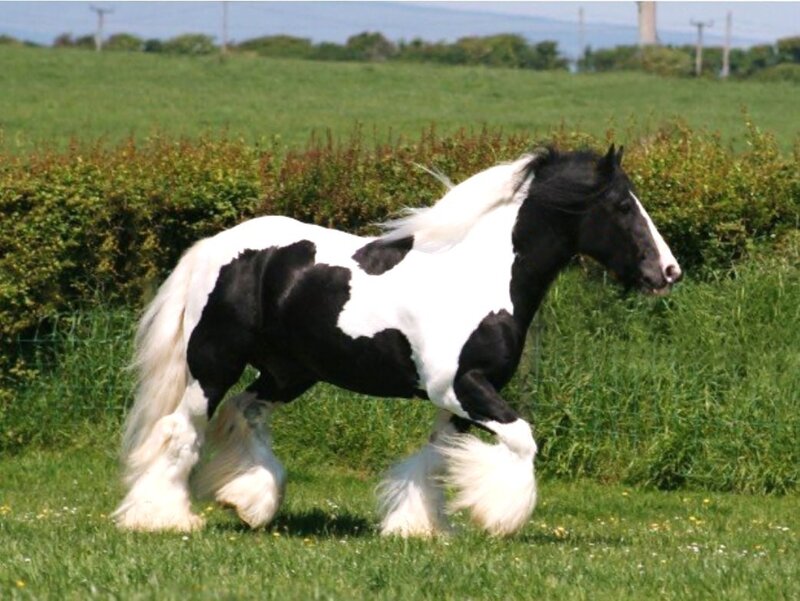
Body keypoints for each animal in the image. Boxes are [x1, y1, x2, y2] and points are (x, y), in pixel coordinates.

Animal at [112, 145, 681, 537]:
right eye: (622, 206)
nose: (669, 272)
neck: (480, 276)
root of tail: (216, 246)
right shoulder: (464, 388)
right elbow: (522, 439)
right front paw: (498, 514)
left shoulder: (460, 399)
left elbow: (436, 459)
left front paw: (418, 527)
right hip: (214, 363)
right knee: (181, 431)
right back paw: (163, 517)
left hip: (289, 372)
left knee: (244, 412)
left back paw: (250, 502)